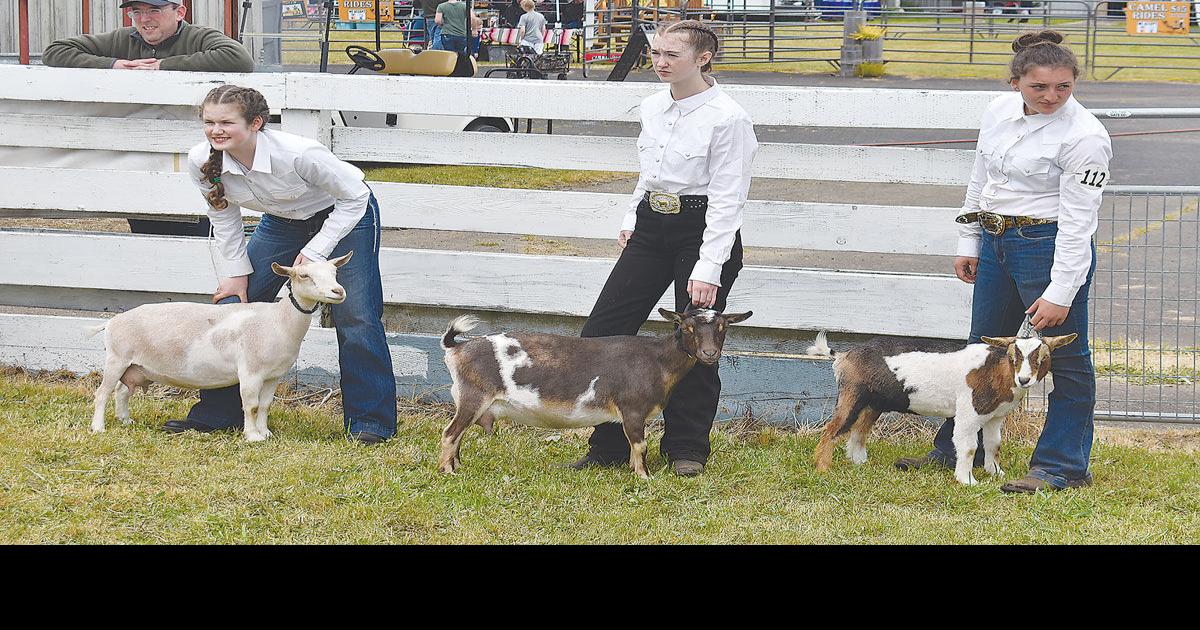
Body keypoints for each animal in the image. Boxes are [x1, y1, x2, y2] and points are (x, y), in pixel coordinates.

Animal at [85, 253, 350, 439]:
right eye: (304, 275)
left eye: (335, 271)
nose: (338, 291)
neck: (278, 320)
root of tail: (112, 322)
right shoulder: (250, 372)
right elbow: (251, 405)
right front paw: (252, 436)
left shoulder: (274, 375)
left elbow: (265, 405)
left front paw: (265, 433)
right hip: (117, 359)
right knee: (102, 393)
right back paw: (98, 428)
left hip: (135, 367)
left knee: (122, 392)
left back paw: (125, 420)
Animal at [436, 307, 748, 477]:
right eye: (688, 327)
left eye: (723, 327)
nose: (710, 353)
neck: (657, 360)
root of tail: (457, 348)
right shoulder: (632, 409)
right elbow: (640, 445)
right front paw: (643, 476)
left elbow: (635, 446)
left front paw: (634, 472)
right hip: (474, 396)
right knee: (450, 433)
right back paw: (448, 471)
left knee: (457, 435)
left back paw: (457, 466)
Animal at [806, 331, 1080, 484]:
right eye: (1013, 357)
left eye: (1042, 358)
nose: (1024, 380)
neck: (995, 370)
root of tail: (844, 356)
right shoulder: (969, 414)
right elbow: (968, 447)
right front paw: (967, 481)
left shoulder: (994, 417)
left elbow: (994, 445)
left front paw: (996, 474)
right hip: (852, 395)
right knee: (832, 430)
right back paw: (823, 469)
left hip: (873, 401)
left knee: (859, 430)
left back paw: (859, 462)